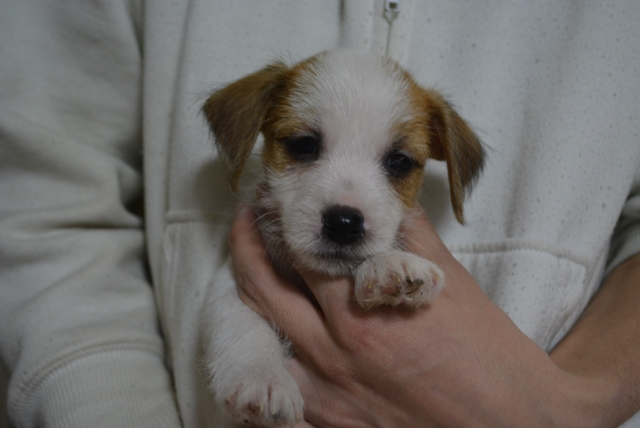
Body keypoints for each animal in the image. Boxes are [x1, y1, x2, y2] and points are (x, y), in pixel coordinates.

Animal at [201, 50, 485, 427]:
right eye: (304, 144)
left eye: (399, 161)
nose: (344, 223)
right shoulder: (232, 281)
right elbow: (243, 323)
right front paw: (261, 378)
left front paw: (391, 263)